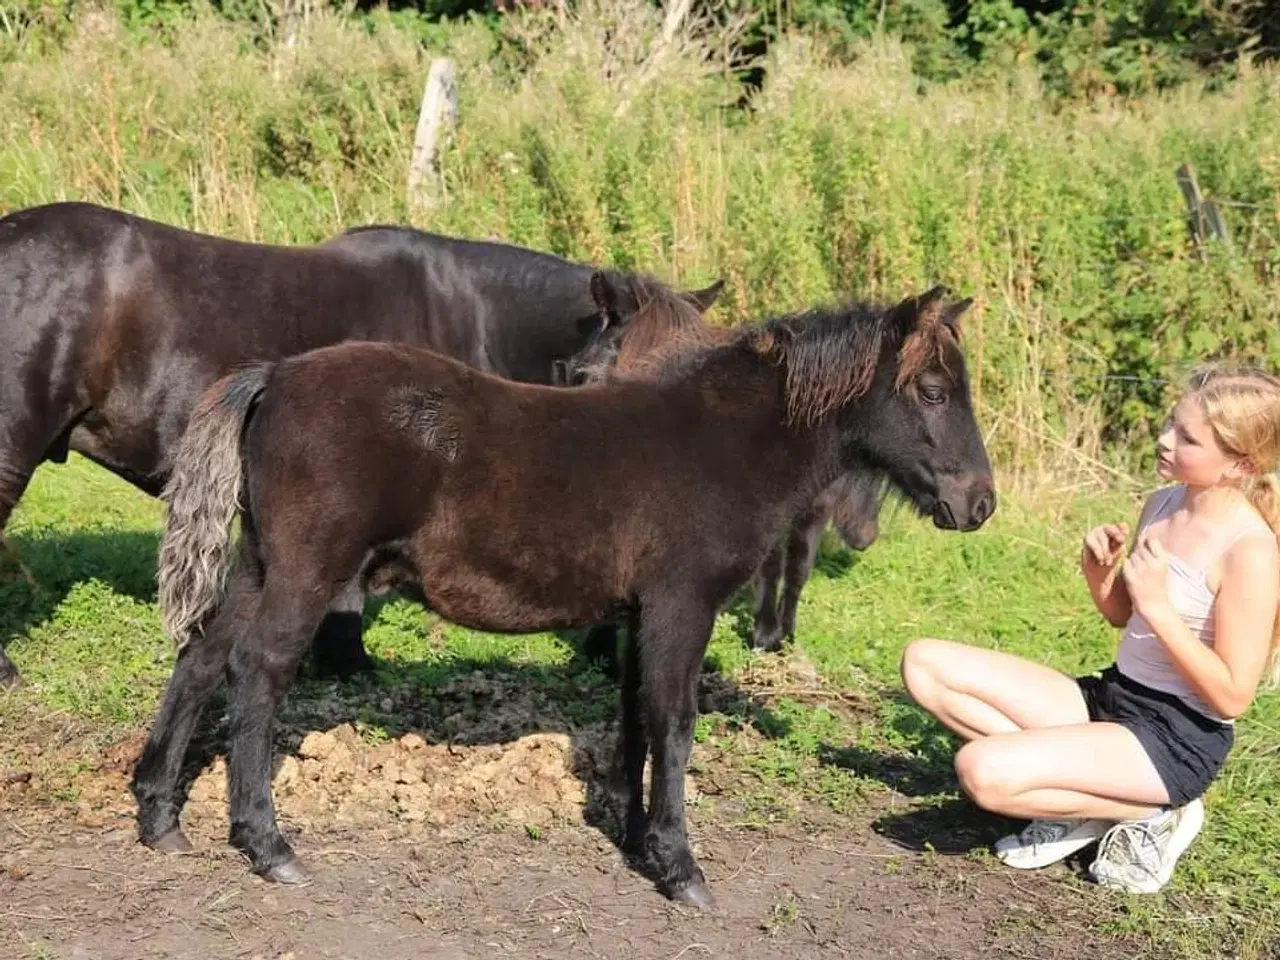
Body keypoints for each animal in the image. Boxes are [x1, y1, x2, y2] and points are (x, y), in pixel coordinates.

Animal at [140, 280, 993, 911]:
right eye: (932, 389)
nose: (979, 503)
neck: (721, 444)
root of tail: (275, 376)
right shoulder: (683, 607)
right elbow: (675, 726)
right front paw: (682, 869)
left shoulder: (639, 616)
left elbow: (637, 722)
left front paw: (638, 839)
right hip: (306, 572)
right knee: (257, 675)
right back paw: (267, 844)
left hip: (259, 564)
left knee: (200, 658)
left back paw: (157, 815)